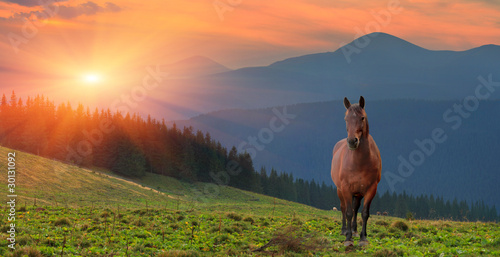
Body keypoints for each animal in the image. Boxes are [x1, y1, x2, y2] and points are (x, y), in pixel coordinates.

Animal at [330, 96, 380, 246]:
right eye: (346, 119)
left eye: (362, 117)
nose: (352, 141)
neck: (359, 162)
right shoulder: (345, 188)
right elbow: (348, 212)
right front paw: (348, 238)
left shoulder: (371, 189)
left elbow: (364, 213)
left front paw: (363, 238)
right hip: (340, 190)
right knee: (344, 208)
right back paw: (344, 230)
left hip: (358, 193)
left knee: (356, 208)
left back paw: (355, 230)